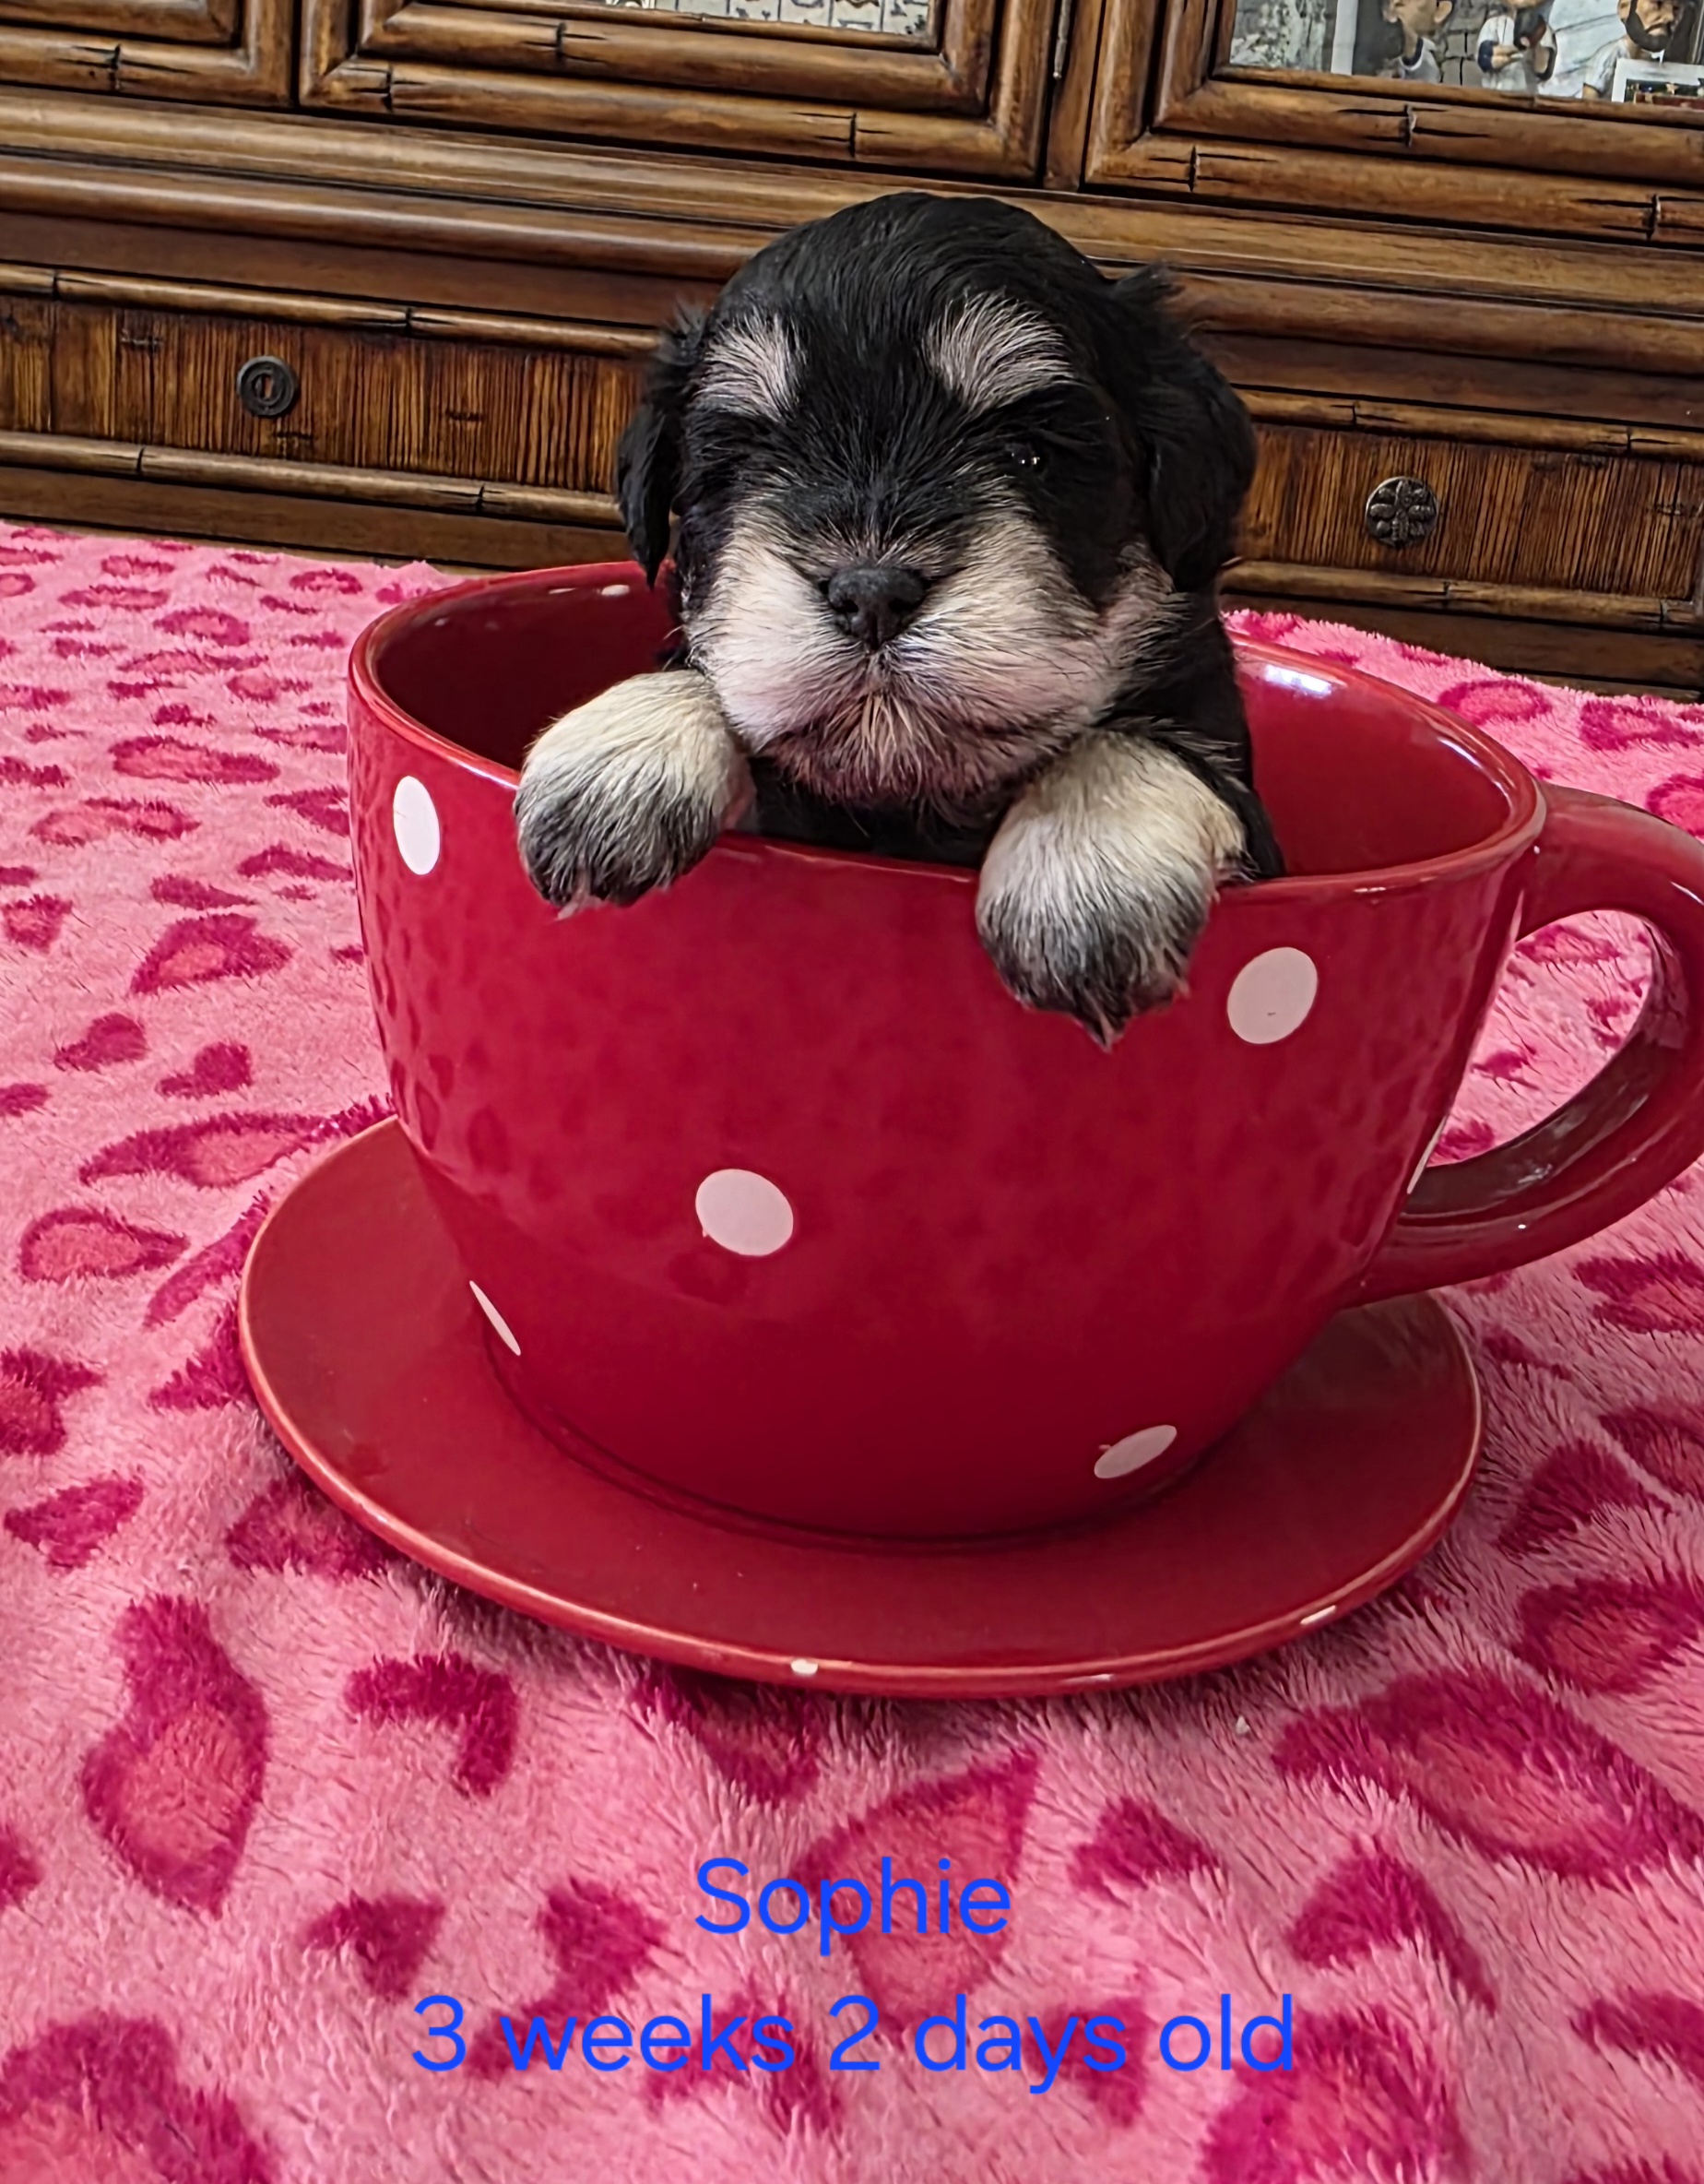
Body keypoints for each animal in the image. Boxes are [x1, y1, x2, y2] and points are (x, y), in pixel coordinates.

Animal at [515, 191, 1282, 1044]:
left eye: (1032, 455)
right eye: (741, 466)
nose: (871, 593)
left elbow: (1135, 742)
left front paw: (1085, 869)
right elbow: (700, 670)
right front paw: (617, 762)